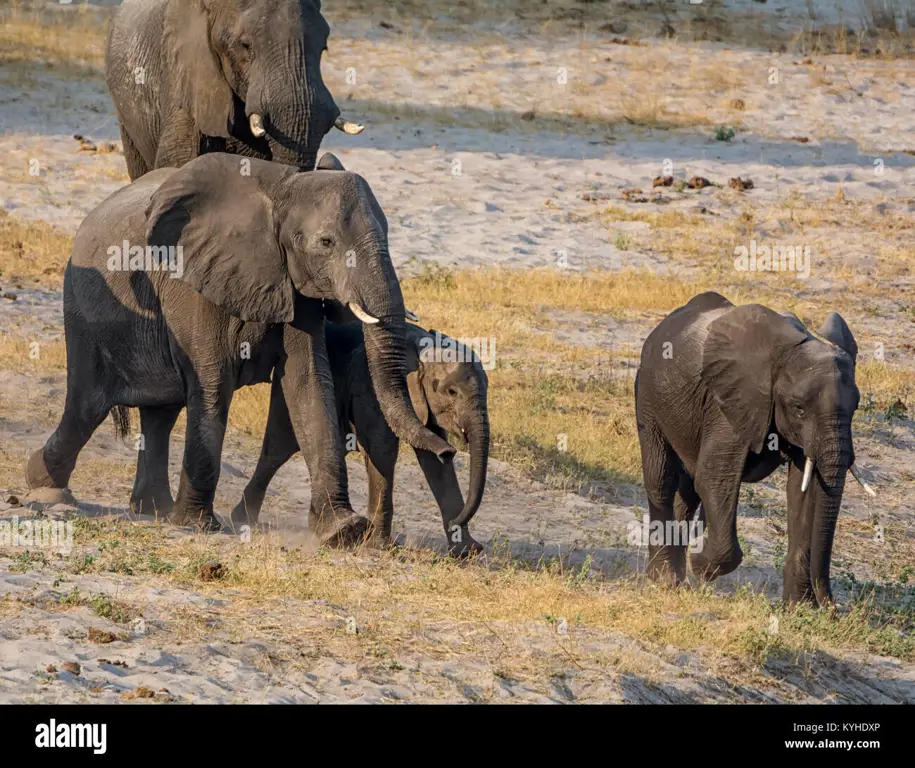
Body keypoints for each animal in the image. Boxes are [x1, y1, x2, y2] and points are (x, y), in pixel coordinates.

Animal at [26, 147, 456, 536]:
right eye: (326, 243)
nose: (448, 450)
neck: (281, 191)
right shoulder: (194, 278)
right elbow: (213, 382)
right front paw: (198, 526)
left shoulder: (292, 283)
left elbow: (308, 383)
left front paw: (342, 530)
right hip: (83, 305)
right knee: (87, 405)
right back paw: (46, 488)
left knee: (160, 414)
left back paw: (152, 509)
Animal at [632, 290, 868, 608]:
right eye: (799, 408)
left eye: (855, 408)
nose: (832, 609)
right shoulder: (730, 403)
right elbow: (714, 478)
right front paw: (700, 564)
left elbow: (805, 493)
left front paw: (799, 609)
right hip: (648, 396)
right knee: (662, 480)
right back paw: (666, 580)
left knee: (687, 492)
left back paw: (677, 578)